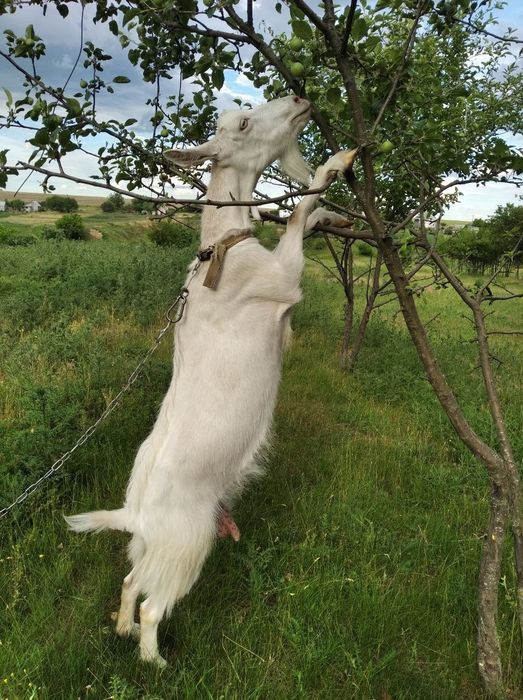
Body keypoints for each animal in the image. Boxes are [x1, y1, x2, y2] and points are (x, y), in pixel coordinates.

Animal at [65, 96, 357, 666]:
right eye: (242, 123)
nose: (300, 99)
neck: (223, 246)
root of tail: (135, 515)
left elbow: (305, 217)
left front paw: (332, 211)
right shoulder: (283, 280)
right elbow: (296, 216)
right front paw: (337, 163)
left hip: (153, 547)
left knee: (131, 582)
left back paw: (122, 630)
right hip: (189, 544)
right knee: (154, 604)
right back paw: (155, 660)